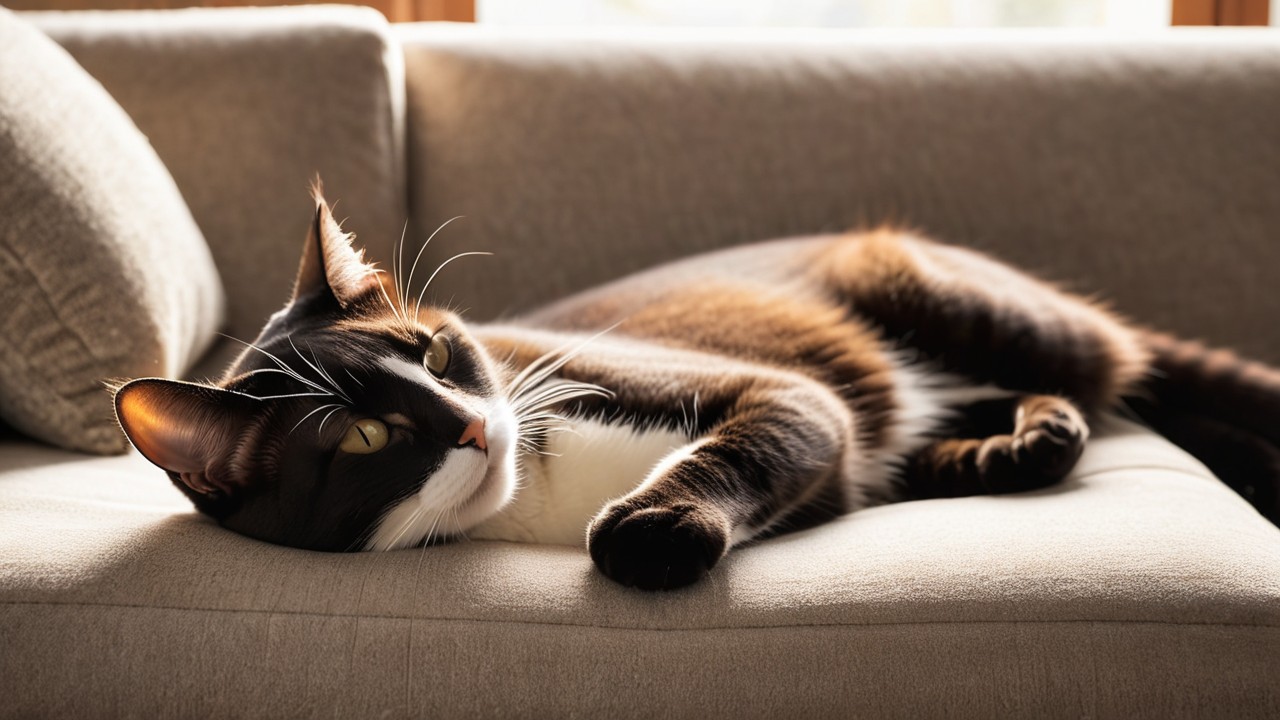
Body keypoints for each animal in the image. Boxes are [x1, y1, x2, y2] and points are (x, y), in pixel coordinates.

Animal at [112, 190, 1280, 589]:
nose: (477, 428)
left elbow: (774, 428)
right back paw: (1019, 443)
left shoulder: (751, 390)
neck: (534, 499)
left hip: (967, 304)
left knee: (1124, 374)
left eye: (438, 353)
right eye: (357, 439)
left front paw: (654, 530)